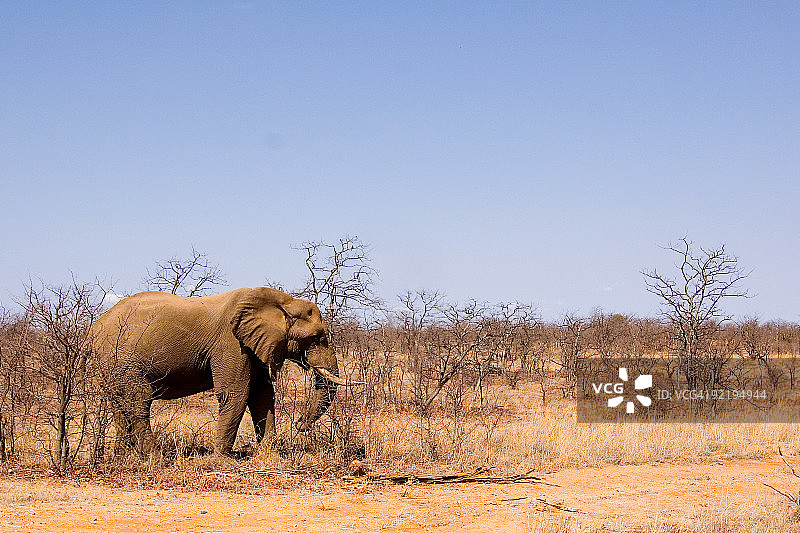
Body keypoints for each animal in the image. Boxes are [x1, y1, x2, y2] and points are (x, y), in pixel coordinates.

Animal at [89, 287, 346, 457]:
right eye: (316, 338)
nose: (301, 424)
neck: (282, 301)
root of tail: (93, 328)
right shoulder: (230, 342)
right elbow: (236, 393)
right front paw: (222, 460)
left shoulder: (254, 344)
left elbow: (262, 395)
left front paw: (269, 456)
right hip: (122, 358)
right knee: (138, 399)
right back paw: (156, 458)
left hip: (111, 362)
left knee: (118, 402)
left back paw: (123, 456)